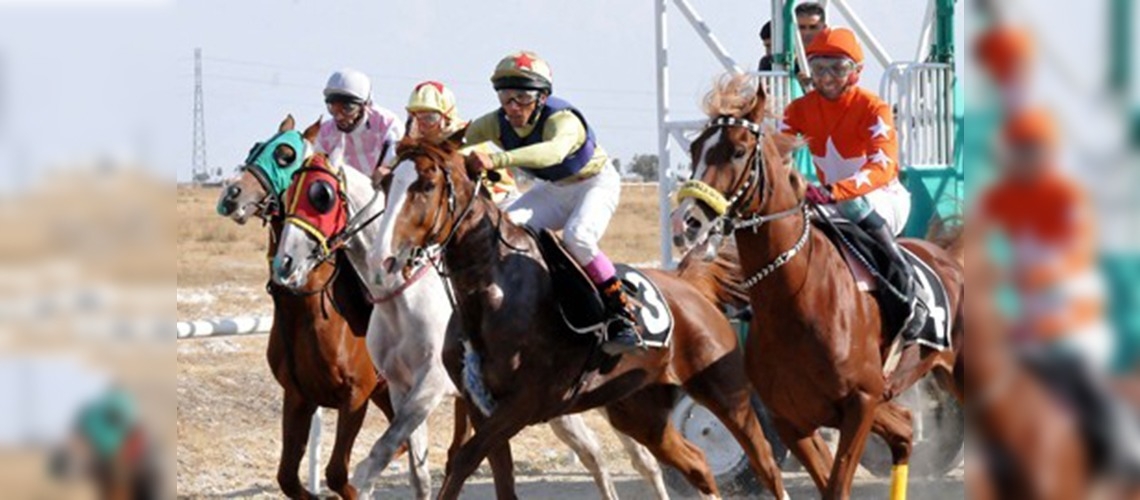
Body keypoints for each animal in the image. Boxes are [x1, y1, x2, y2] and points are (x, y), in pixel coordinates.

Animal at [214, 115, 401, 498]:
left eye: (285, 155)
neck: (307, 307)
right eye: (255, 147)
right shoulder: (298, 396)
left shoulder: (355, 396)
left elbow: (338, 475)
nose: (231, 194)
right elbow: (287, 476)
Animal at [267, 130, 670, 500]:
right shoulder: (399, 386)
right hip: (560, 407)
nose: (285, 264)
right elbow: (417, 472)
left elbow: (378, 454)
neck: (400, 297)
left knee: (640, 459)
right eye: (284, 198)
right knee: (594, 454)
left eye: (321, 195)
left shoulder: (429, 383)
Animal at [369, 134, 788, 498]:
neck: (493, 291)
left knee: (765, 461)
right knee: (698, 464)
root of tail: (688, 285)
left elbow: (462, 461)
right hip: (638, 412)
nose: (381, 260)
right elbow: (495, 476)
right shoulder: (481, 406)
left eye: (425, 185)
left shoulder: (526, 402)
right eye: (386, 181)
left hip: (724, 390)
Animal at [665, 75, 962, 500]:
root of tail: (949, 253)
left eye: (737, 150)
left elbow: (837, 485)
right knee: (905, 427)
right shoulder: (792, 417)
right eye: (694, 149)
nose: (685, 222)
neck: (795, 299)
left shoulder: (861, 402)